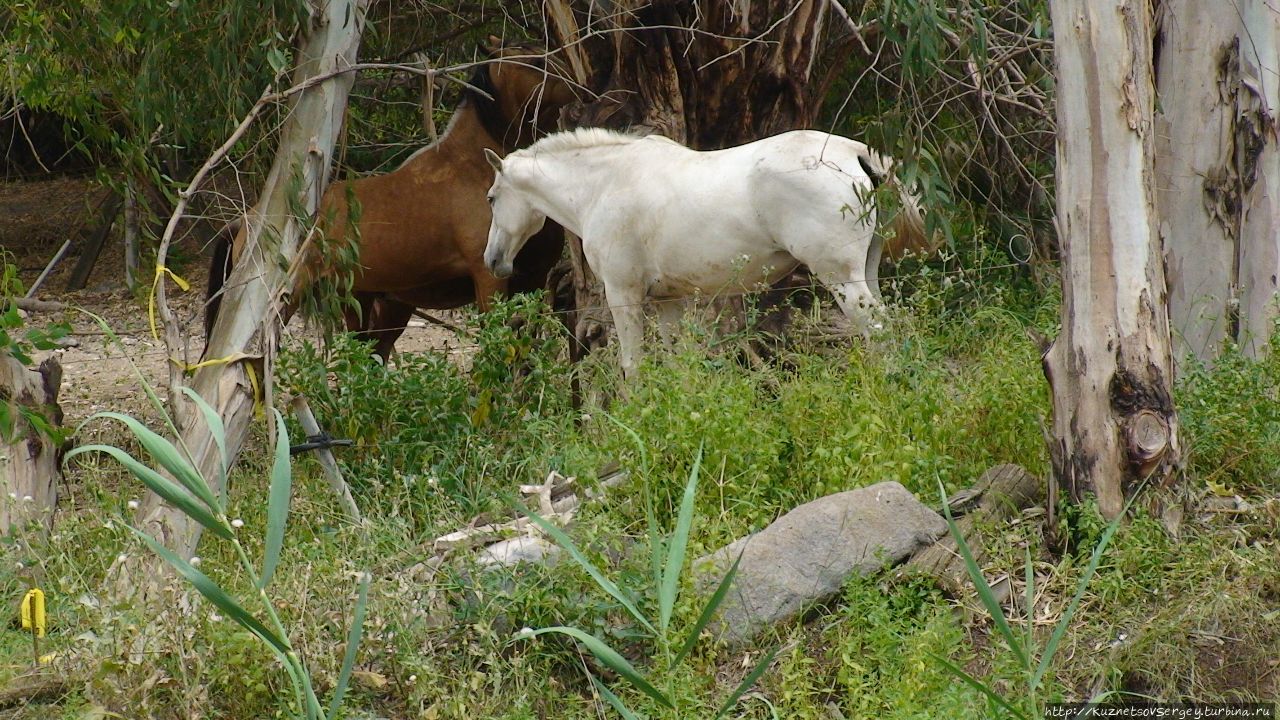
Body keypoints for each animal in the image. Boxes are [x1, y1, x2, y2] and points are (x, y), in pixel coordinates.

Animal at [208, 43, 576, 356]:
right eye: (535, 62)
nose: (580, 83)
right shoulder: (490, 279)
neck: (475, 168)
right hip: (292, 300)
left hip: (374, 302)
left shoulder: (534, 280)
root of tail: (246, 221)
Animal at [483, 128, 926, 376]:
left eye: (491, 198)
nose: (493, 261)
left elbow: (632, 364)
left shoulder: (623, 297)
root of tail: (852, 151)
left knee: (876, 329)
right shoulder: (668, 303)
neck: (605, 184)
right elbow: (680, 362)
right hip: (865, 273)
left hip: (842, 279)